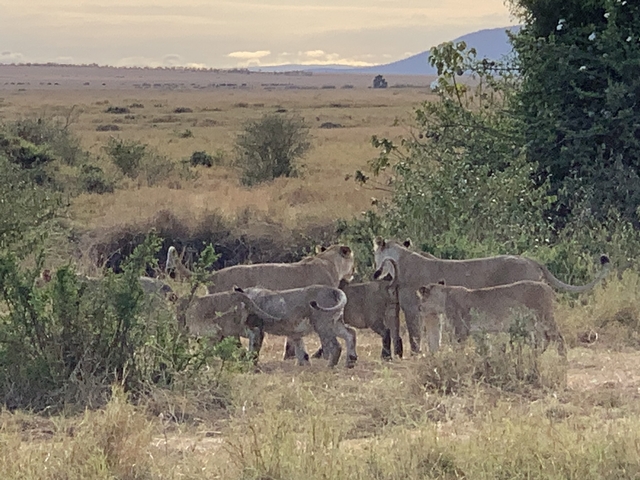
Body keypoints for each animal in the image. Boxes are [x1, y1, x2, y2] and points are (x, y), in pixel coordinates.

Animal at [416, 280, 566, 357]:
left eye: (421, 299)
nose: (419, 308)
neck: (443, 296)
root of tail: (548, 287)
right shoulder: (477, 331)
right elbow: (485, 347)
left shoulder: (460, 330)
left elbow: (458, 349)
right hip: (535, 324)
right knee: (544, 340)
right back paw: (535, 356)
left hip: (544, 317)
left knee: (559, 338)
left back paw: (561, 359)